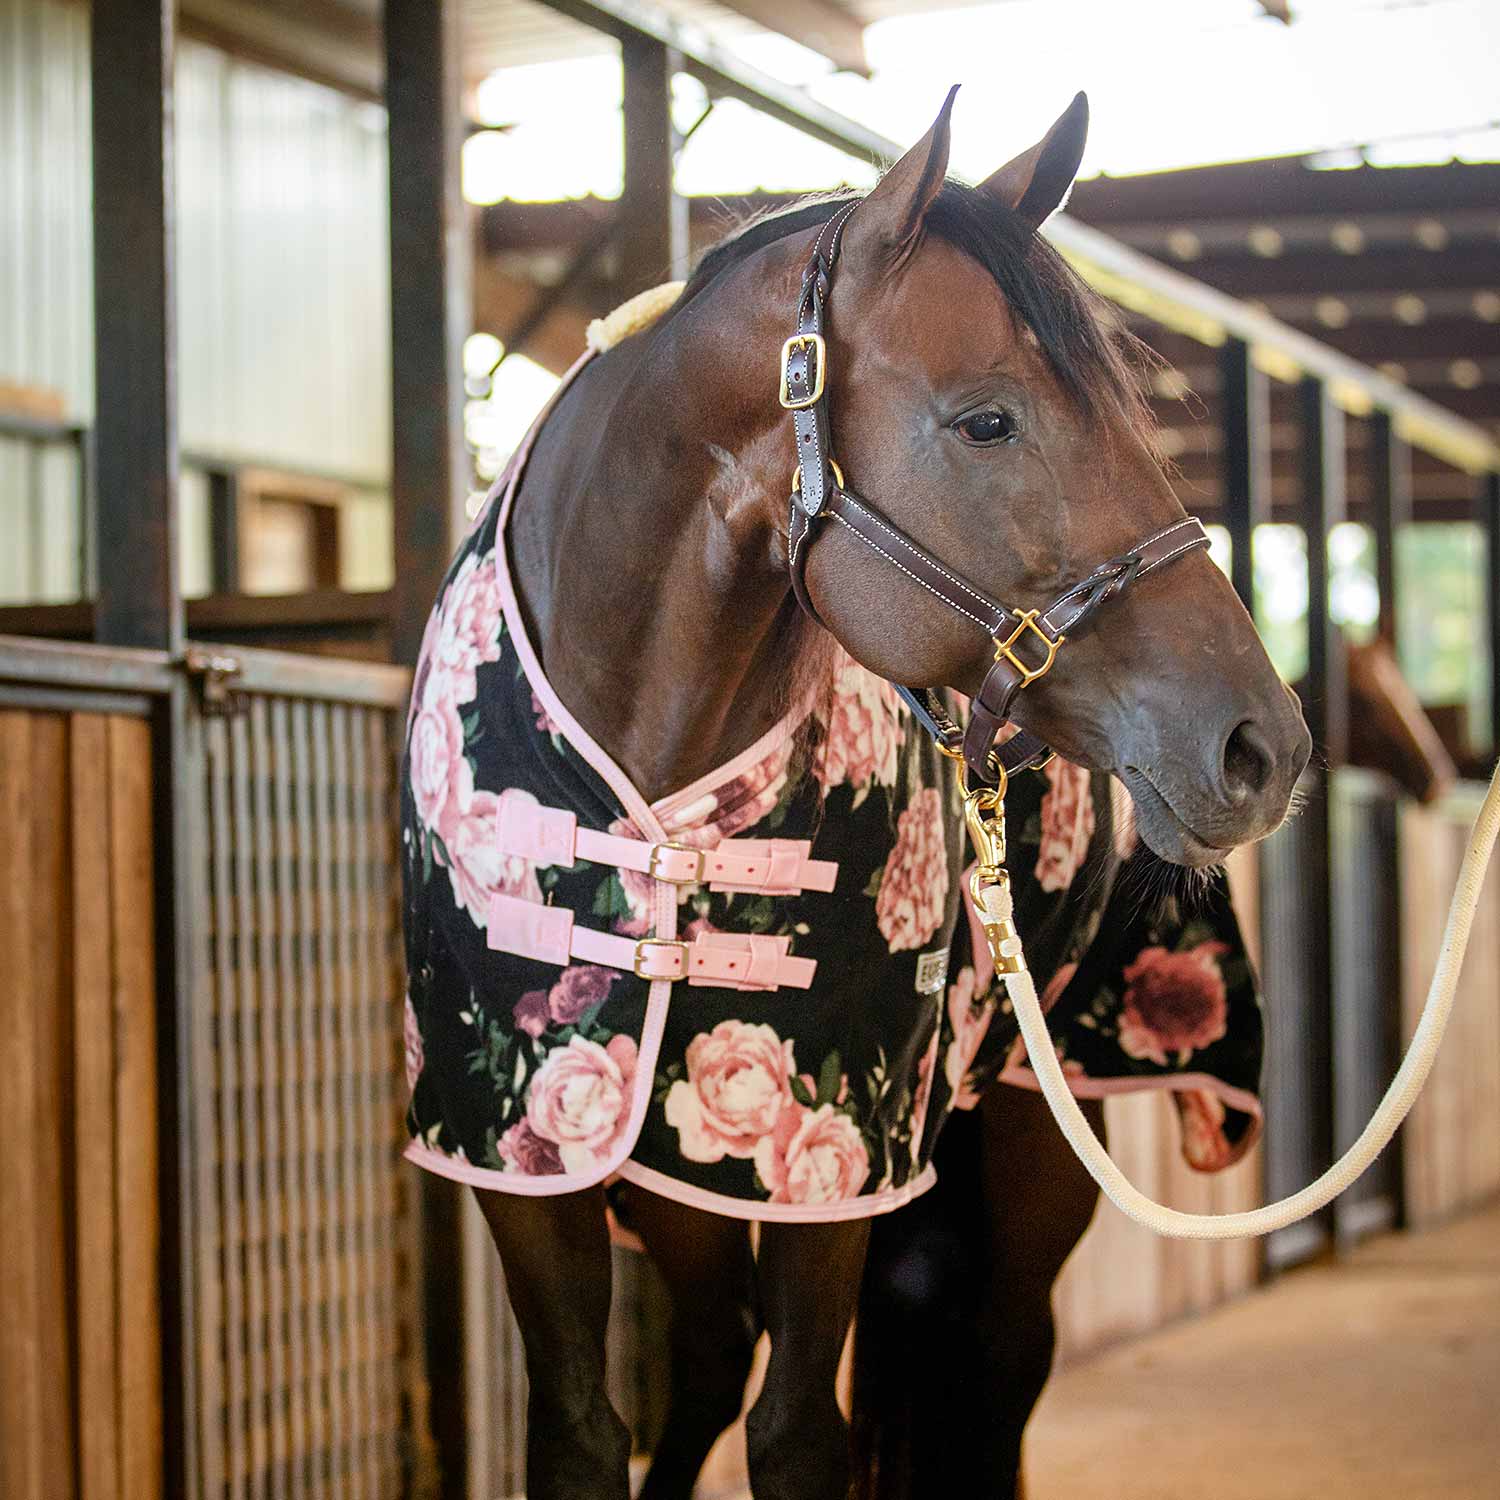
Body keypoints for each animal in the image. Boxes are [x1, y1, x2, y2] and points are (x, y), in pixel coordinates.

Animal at [399, 89, 1311, 1500]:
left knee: (993, 1374)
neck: (659, 803)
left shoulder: (831, 1158)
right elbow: (584, 1432)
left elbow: (799, 1438)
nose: (1259, 744)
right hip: (682, 1183)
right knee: (714, 1355)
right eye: (987, 421)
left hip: (1037, 1131)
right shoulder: (511, 1150)